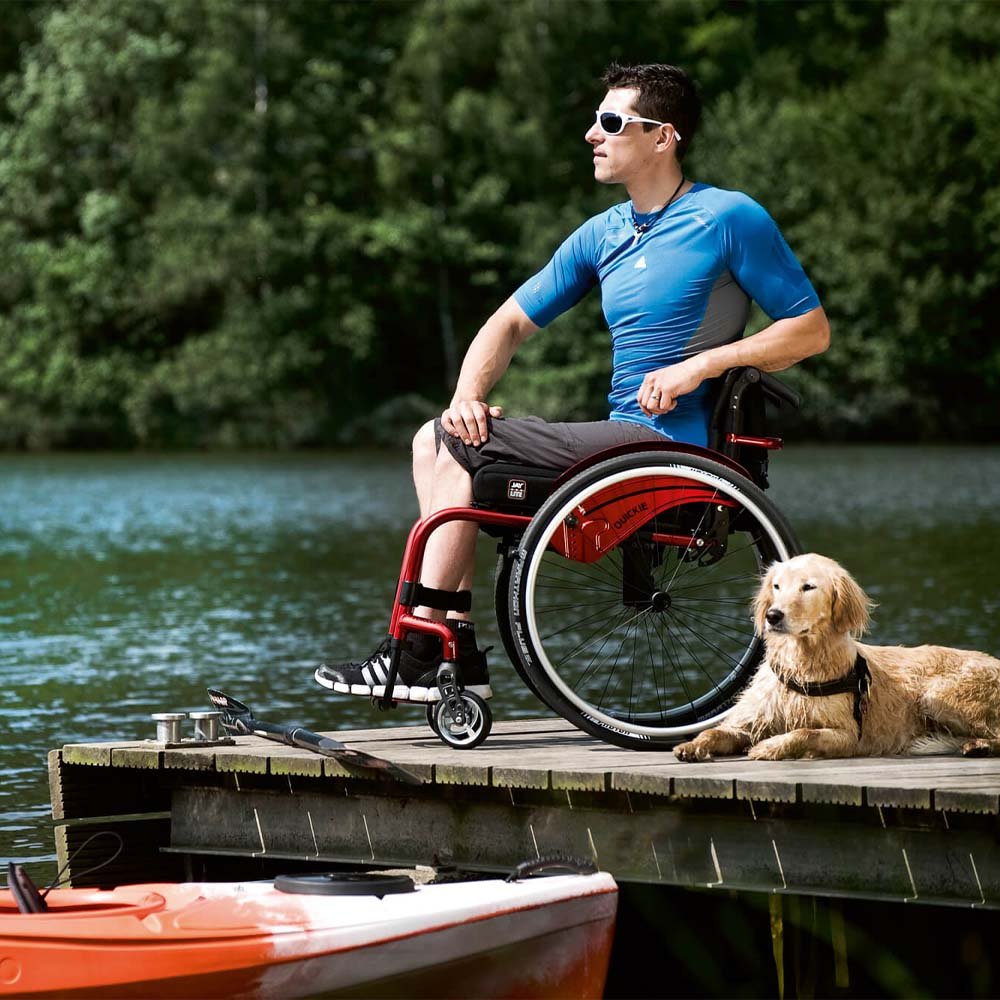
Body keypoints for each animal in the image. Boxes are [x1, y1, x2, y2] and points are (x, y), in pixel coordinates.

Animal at [674, 553, 1000, 761]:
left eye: (808, 586)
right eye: (776, 585)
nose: (773, 616)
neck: (801, 664)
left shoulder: (848, 735)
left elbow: (804, 732)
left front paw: (770, 747)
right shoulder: (749, 722)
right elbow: (715, 732)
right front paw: (692, 746)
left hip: (938, 695)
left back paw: (981, 745)